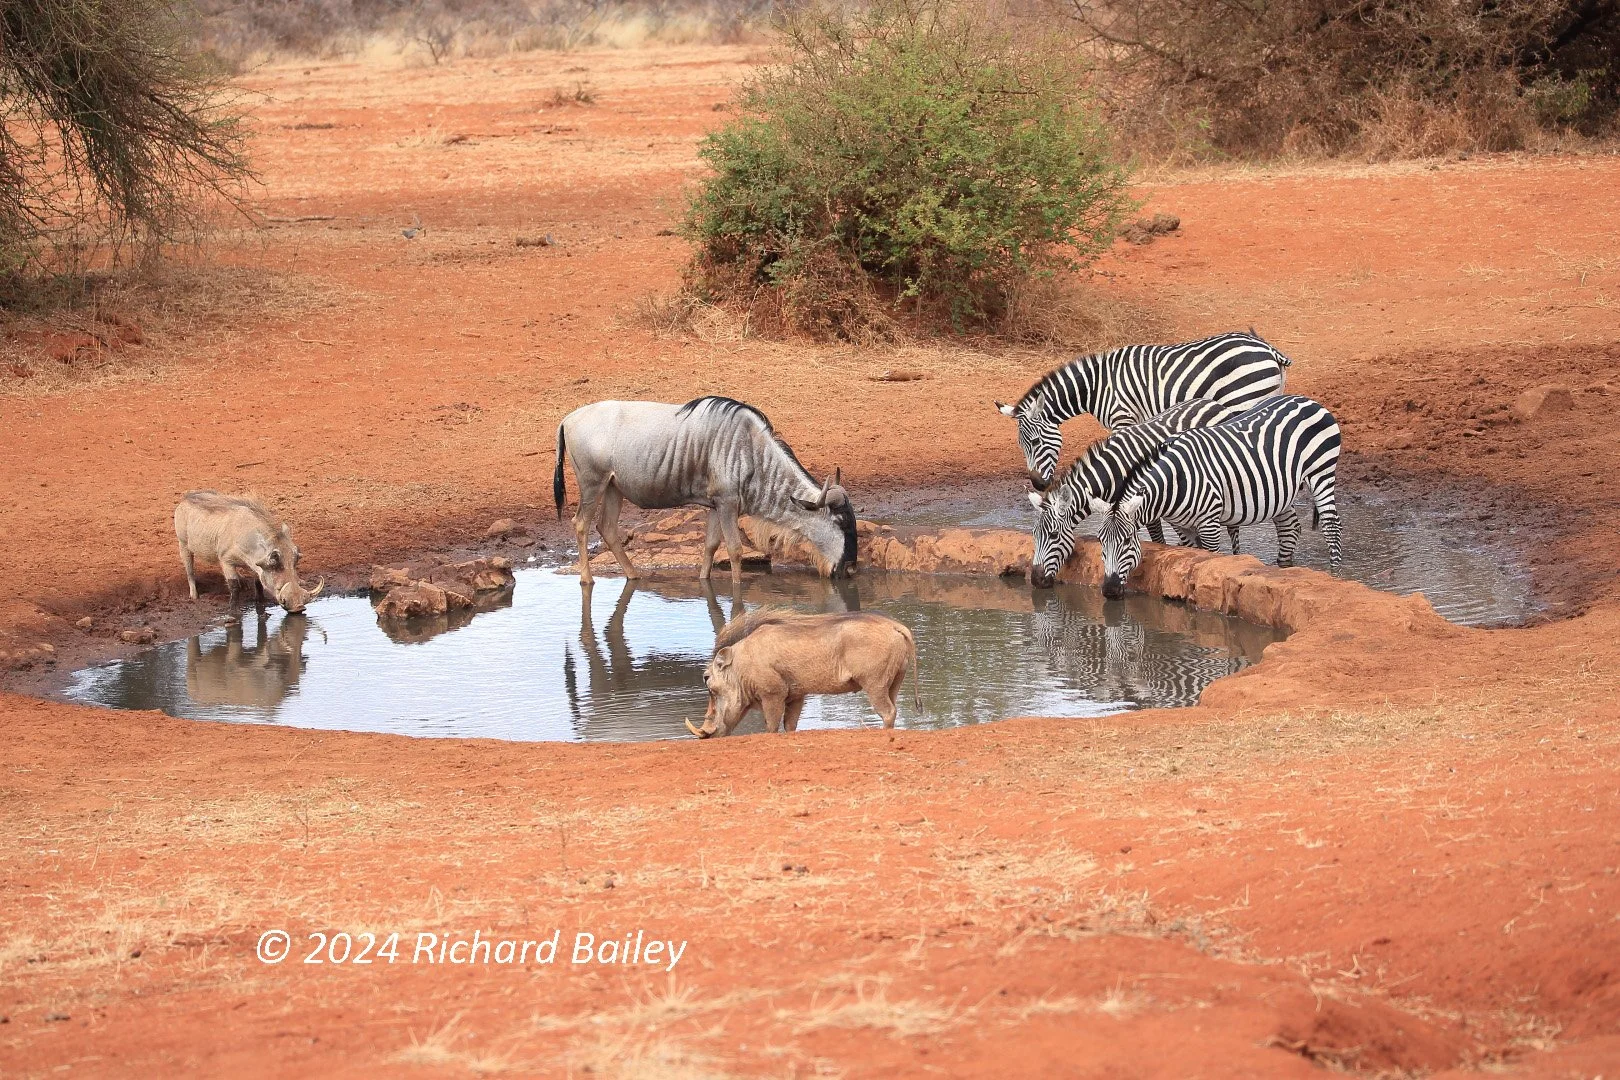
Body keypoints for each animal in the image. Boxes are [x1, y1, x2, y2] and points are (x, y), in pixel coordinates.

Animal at [554, 396, 857, 586]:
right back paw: (587, 579)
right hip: (592, 484)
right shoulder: (727, 504)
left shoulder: (715, 505)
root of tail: (568, 419)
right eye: (841, 522)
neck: (751, 452)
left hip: (614, 487)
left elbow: (711, 545)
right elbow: (734, 550)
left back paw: (633, 575)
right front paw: (737, 590)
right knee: (580, 523)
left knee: (606, 527)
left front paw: (704, 582)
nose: (852, 568)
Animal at [994, 331, 1292, 490]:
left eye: (1035, 442)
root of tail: (1267, 348)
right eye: (1021, 445)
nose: (1038, 485)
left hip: (1245, 398)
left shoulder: (1122, 417)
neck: (1097, 386)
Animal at [1026, 398, 1242, 587]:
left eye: (1054, 535)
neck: (1112, 473)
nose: (1035, 580)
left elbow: (1156, 538)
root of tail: (1212, 403)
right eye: (1034, 534)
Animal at [1095, 394, 1342, 600]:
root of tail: (1308, 400)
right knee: (1288, 527)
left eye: (1127, 540)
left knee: (1332, 526)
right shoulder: (1183, 526)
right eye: (1100, 541)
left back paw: (1335, 576)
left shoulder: (1209, 524)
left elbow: (1209, 561)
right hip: (1282, 489)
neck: (1176, 480)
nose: (1109, 590)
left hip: (1322, 472)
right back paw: (1284, 567)